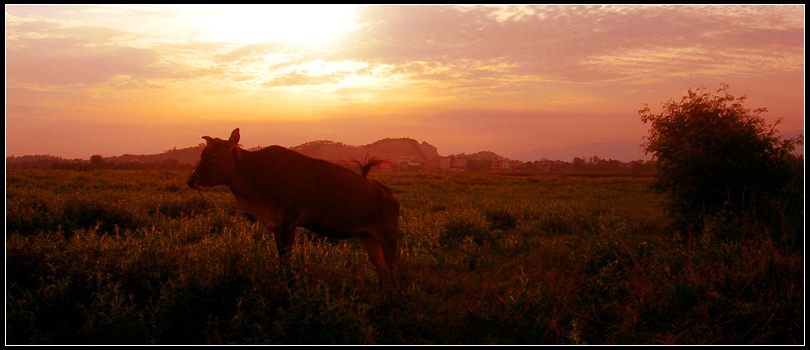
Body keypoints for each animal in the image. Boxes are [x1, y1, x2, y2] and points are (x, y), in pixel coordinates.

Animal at [187, 129, 400, 292]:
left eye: (214, 156)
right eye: (202, 154)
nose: (191, 180)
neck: (255, 172)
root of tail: (387, 192)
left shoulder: (289, 222)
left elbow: (286, 257)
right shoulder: (276, 225)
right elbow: (280, 256)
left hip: (387, 236)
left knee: (393, 268)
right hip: (367, 237)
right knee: (381, 268)